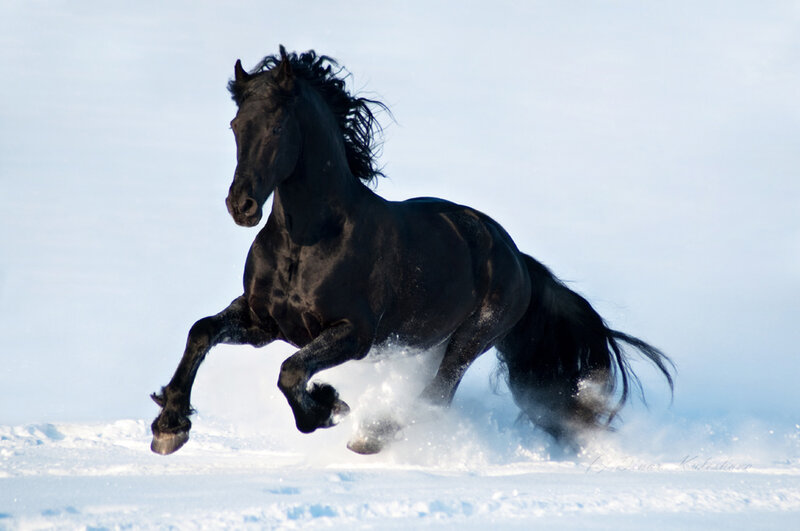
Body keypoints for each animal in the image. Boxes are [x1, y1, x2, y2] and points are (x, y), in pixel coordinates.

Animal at [150, 46, 674, 456]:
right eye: (235, 124)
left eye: (277, 128)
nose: (241, 206)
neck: (307, 242)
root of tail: (517, 258)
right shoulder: (264, 323)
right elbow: (202, 332)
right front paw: (170, 425)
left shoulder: (354, 334)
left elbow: (290, 371)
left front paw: (328, 406)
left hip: (470, 339)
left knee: (436, 394)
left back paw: (373, 434)